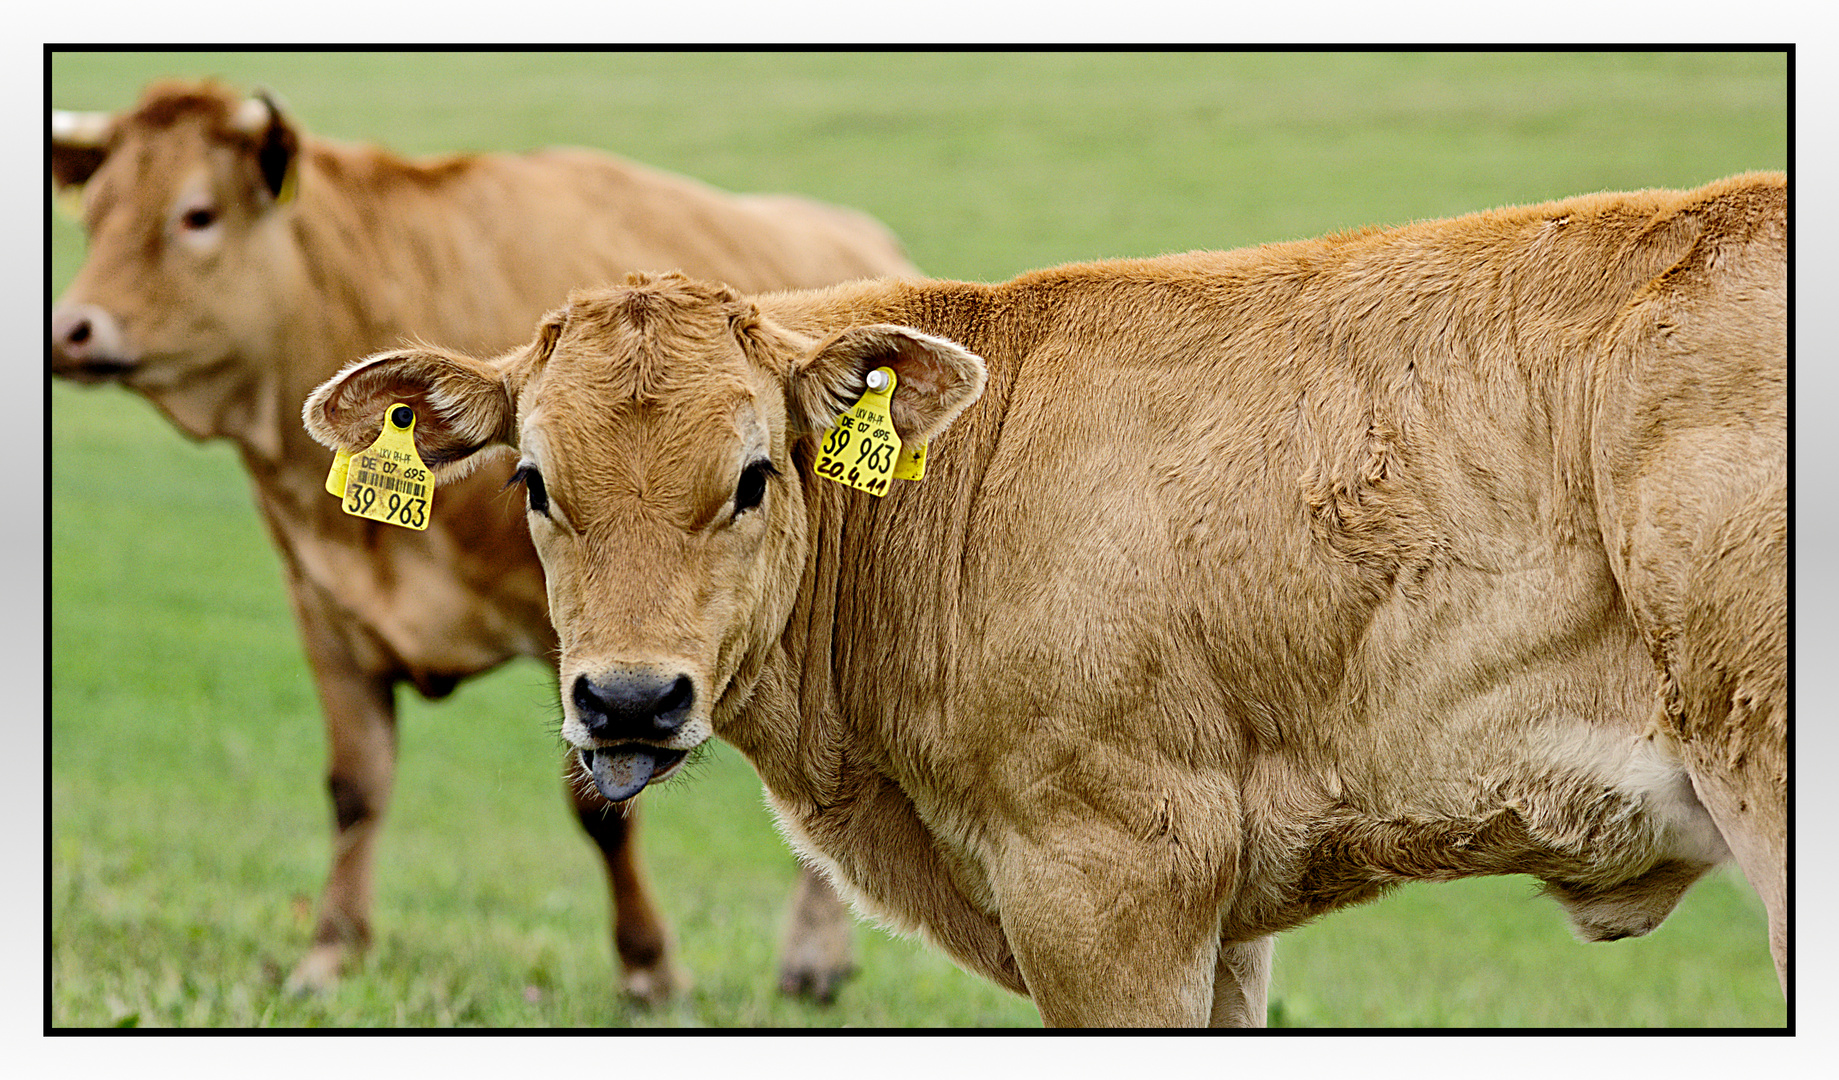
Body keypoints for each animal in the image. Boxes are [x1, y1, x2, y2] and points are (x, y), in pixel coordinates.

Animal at [44, 80, 912, 1008]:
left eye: (196, 214)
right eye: (97, 212)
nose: (74, 329)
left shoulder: (586, 646)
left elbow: (599, 806)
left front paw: (646, 967)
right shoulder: (322, 608)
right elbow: (355, 787)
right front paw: (330, 952)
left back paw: (812, 955)